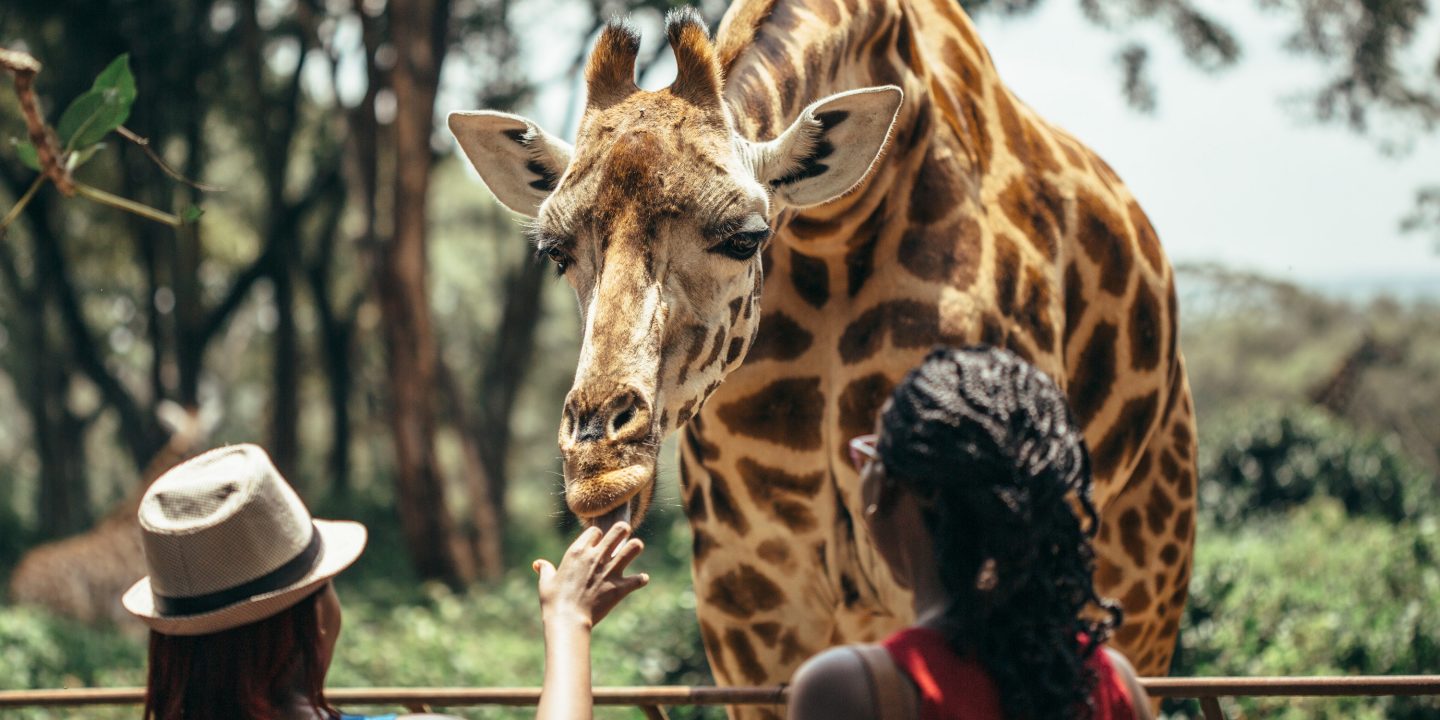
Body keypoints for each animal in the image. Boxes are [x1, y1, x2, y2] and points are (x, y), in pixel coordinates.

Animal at [7, 403, 216, 627]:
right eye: (184, 433)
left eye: (208, 431)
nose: (197, 449)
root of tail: (15, 588)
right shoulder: (130, 618)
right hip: (77, 608)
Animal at [449, 0, 1192, 699]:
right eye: (554, 251)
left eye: (745, 237)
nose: (599, 464)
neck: (833, 231)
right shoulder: (750, 598)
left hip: (1145, 573)